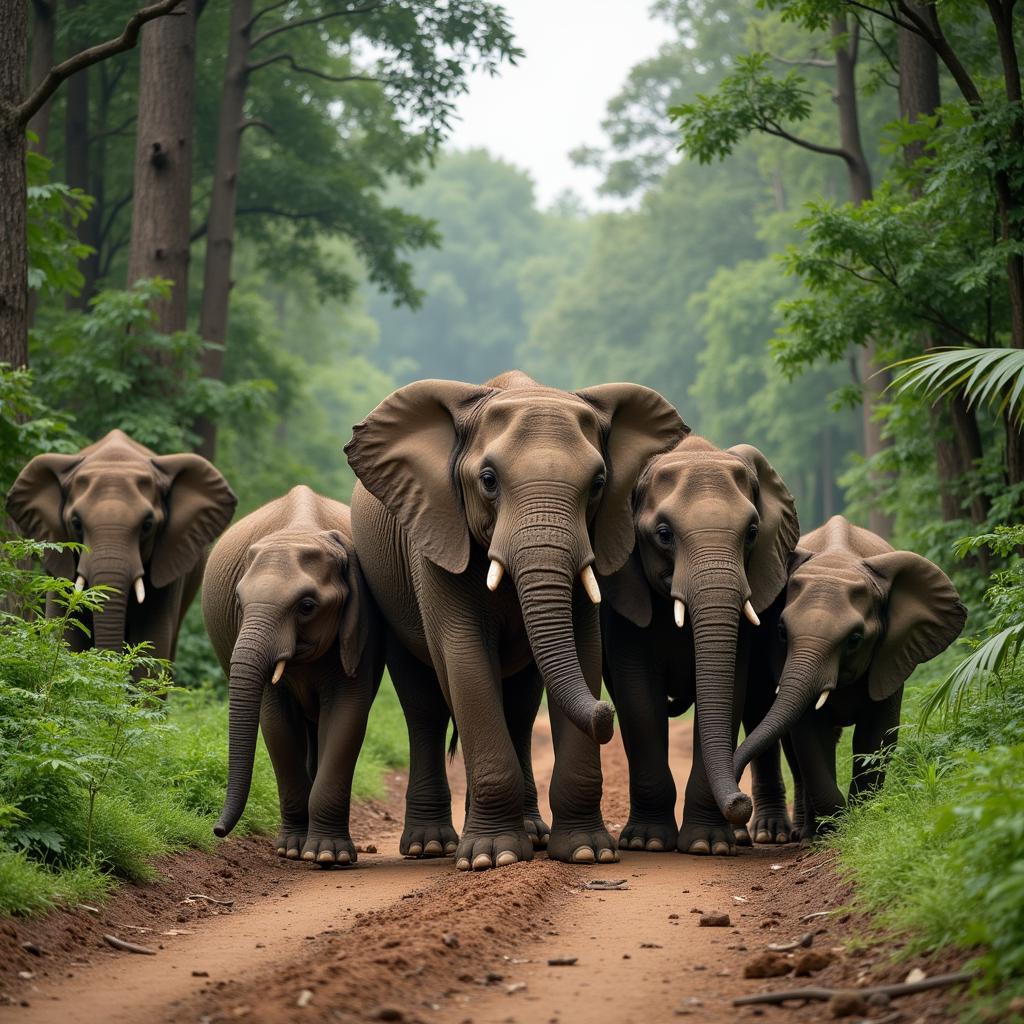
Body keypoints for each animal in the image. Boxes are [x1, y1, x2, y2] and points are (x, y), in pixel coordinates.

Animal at [203, 485, 385, 864]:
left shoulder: (361, 629)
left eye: (307, 607)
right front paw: (290, 850)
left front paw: (329, 856)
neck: (300, 531)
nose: (217, 830)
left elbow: (347, 715)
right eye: (238, 603)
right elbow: (277, 724)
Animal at [344, 372, 688, 868]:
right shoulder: (436, 530)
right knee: (425, 706)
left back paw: (528, 833)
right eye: (488, 480)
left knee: (521, 709)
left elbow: (583, 649)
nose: (606, 712)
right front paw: (493, 858)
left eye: (599, 482)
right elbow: (464, 656)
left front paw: (586, 851)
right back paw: (432, 847)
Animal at [598, 438, 798, 856]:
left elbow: (731, 690)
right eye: (663, 533)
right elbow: (638, 696)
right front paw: (647, 843)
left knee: (757, 705)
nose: (739, 801)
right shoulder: (625, 602)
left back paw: (760, 835)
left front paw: (709, 846)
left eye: (752, 532)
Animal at [733, 516, 962, 835]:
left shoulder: (890, 658)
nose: (737, 801)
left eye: (855, 639)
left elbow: (877, 735)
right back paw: (794, 833)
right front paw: (836, 825)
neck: (838, 560)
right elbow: (810, 738)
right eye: (781, 632)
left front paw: (860, 819)